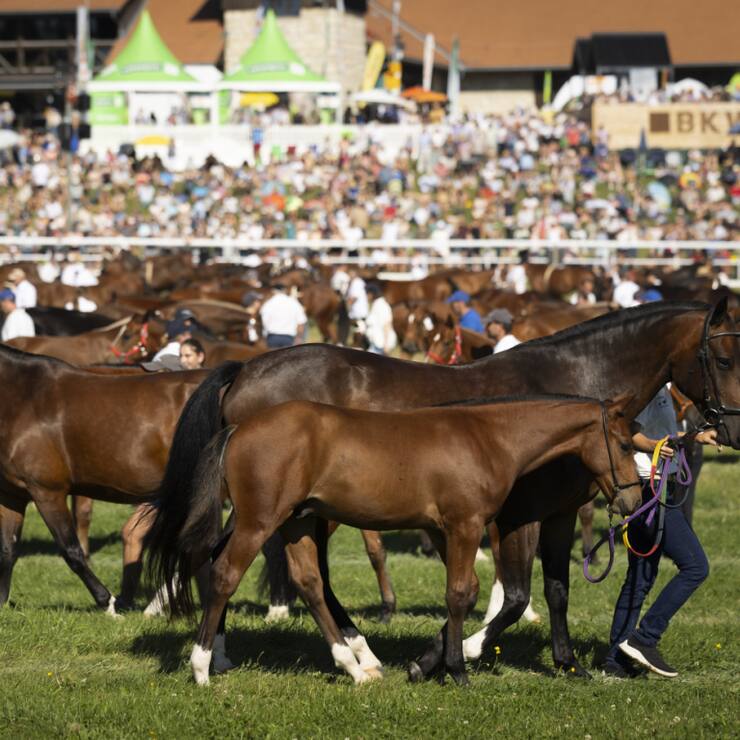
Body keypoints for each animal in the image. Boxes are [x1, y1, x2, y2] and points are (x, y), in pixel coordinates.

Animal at [0, 345, 209, 611]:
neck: (24, 398)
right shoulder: (12, 495)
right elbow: (8, 550)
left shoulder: (47, 491)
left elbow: (72, 551)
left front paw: (107, 602)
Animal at [160, 394, 642, 686]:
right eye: (622, 443)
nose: (634, 498)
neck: (487, 438)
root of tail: (237, 429)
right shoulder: (464, 525)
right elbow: (460, 594)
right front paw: (457, 670)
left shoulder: (449, 530)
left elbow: (472, 593)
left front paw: (430, 664)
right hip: (260, 520)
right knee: (225, 573)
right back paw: (202, 667)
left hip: (295, 522)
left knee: (309, 583)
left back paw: (353, 668)